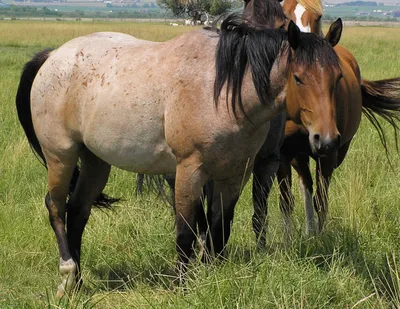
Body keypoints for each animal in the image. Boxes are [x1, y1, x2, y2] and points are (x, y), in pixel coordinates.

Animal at [15, 15, 320, 296]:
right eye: (298, 78)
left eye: (330, 81)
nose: (323, 139)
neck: (223, 90)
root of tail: (52, 56)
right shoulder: (188, 170)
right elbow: (189, 227)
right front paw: (183, 285)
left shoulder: (236, 172)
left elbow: (219, 224)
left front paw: (212, 273)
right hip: (61, 157)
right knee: (56, 206)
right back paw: (67, 276)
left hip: (96, 161)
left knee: (78, 210)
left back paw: (78, 282)